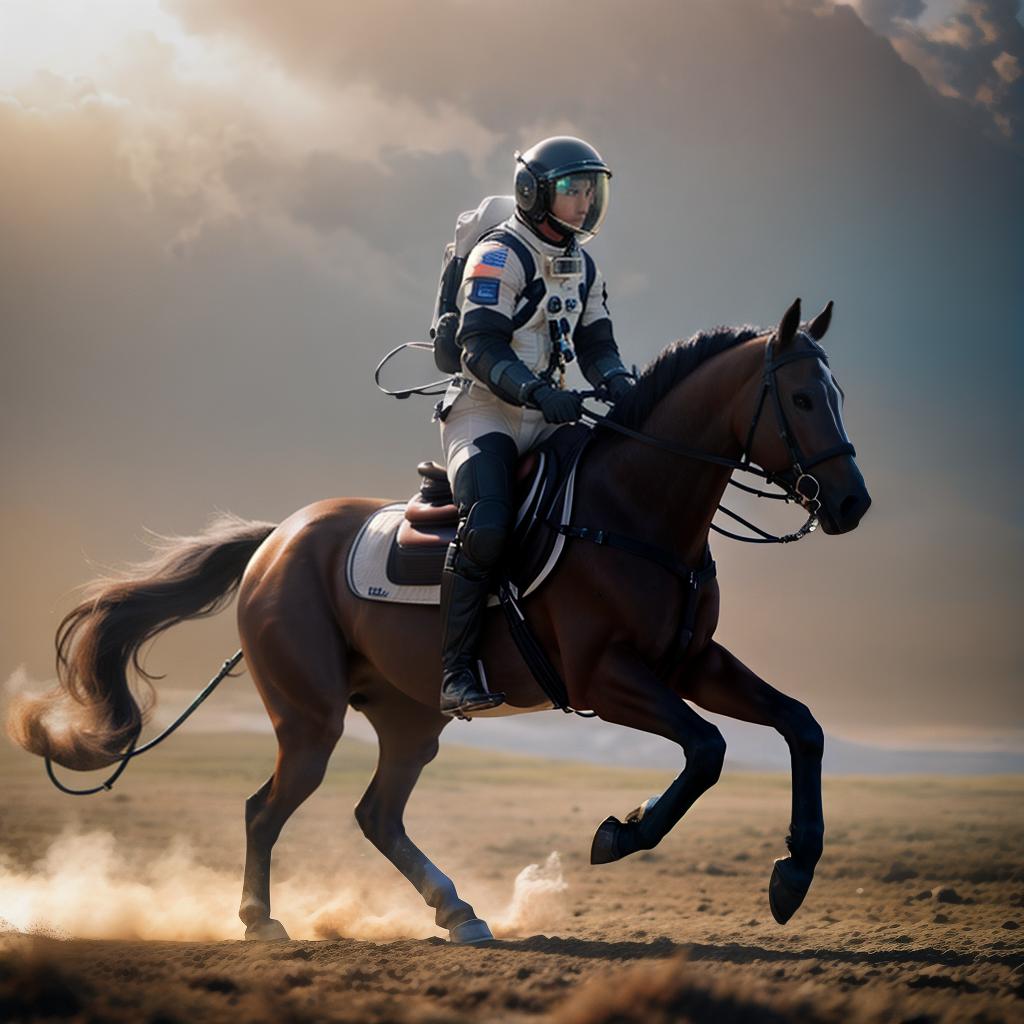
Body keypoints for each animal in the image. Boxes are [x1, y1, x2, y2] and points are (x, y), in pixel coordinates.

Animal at [8, 296, 872, 942]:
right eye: (801, 398)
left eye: (838, 395)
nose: (852, 503)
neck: (632, 511)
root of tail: (277, 539)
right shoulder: (609, 678)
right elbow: (708, 749)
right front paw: (621, 832)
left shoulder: (691, 663)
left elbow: (800, 726)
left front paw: (794, 872)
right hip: (312, 719)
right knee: (267, 808)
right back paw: (259, 920)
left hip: (408, 717)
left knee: (376, 815)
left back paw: (457, 911)